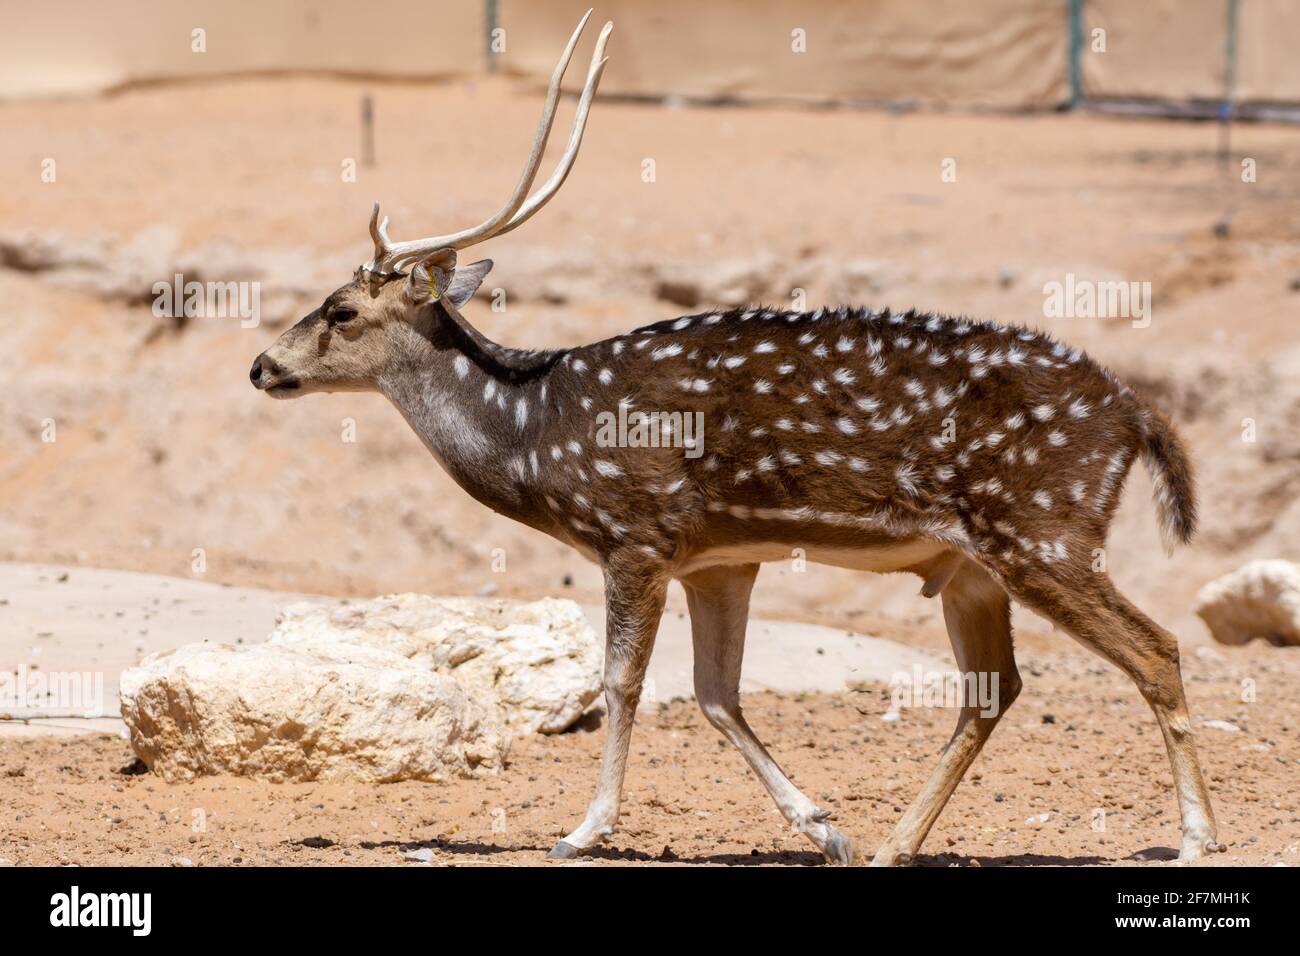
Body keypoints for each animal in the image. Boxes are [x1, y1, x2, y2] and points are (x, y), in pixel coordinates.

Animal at [249, 10, 1225, 866]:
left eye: (340, 310)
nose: (261, 366)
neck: (537, 434)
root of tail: (1138, 414)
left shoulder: (634, 533)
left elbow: (623, 683)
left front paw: (581, 831)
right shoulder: (720, 557)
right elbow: (716, 694)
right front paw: (827, 830)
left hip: (1046, 530)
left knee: (1156, 650)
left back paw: (1194, 840)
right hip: (975, 565)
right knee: (994, 690)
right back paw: (895, 845)